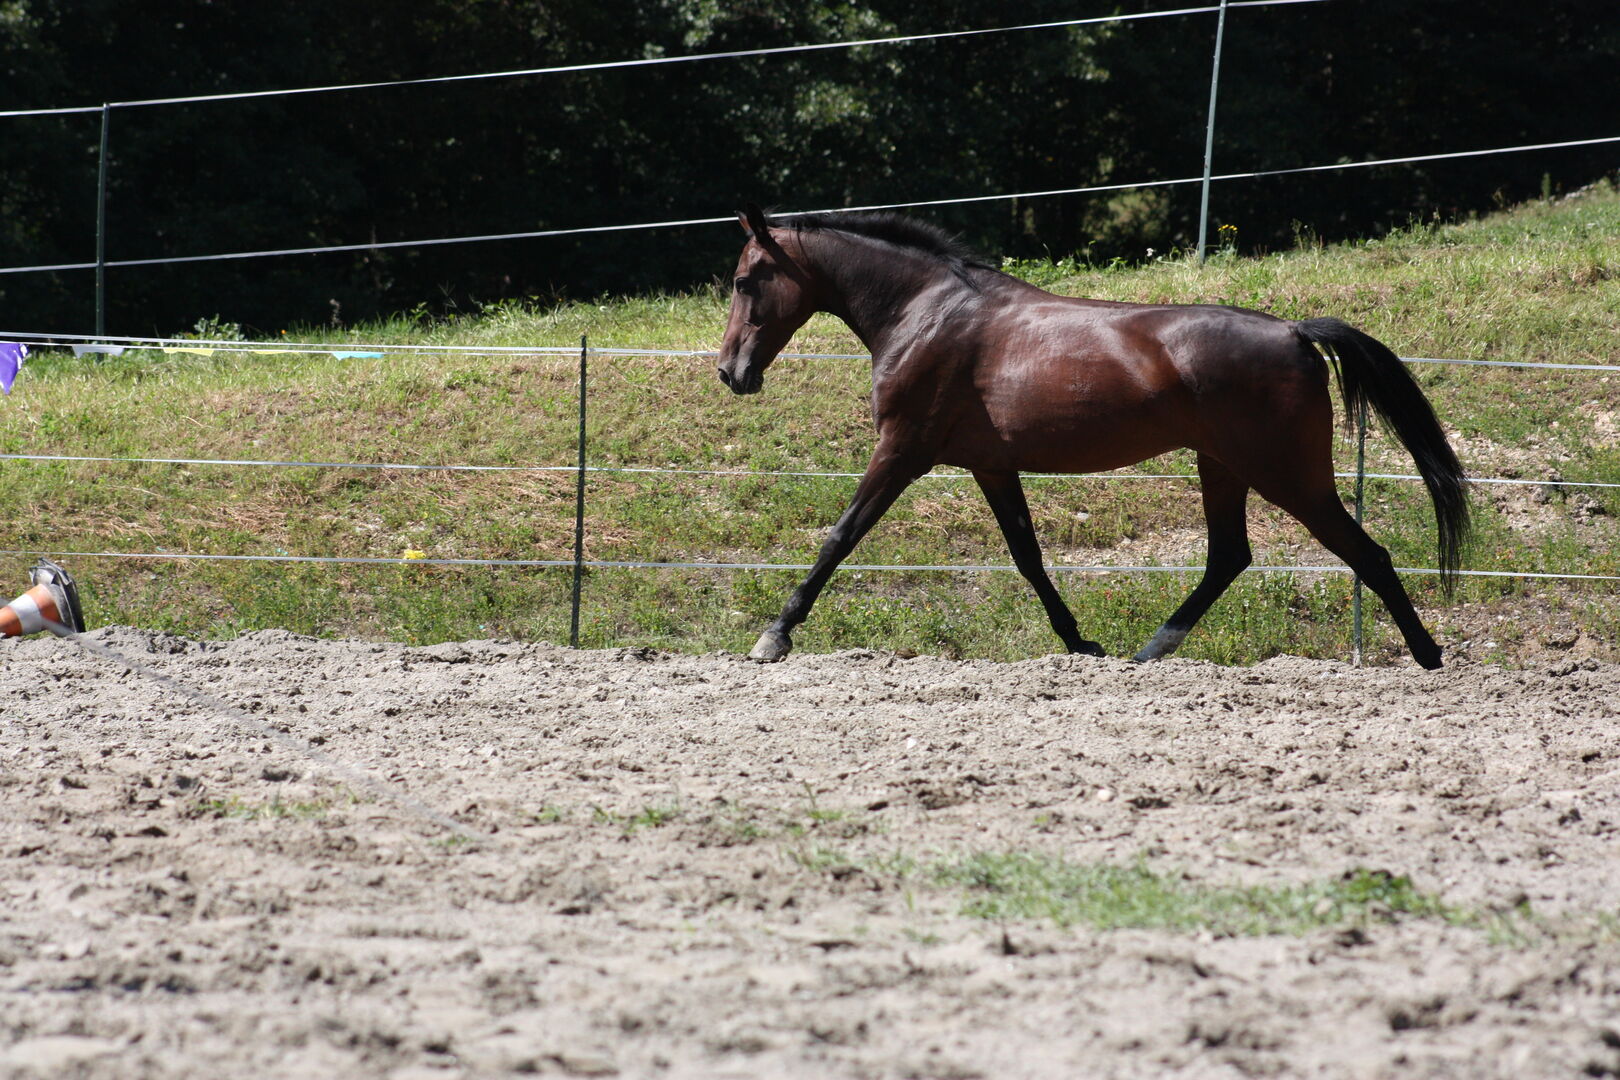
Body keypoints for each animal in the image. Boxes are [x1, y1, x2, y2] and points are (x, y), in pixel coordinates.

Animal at [715, 203, 1470, 668]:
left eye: (748, 279)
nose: (731, 373)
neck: (927, 313)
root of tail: (1295, 332)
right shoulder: (992, 467)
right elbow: (1028, 559)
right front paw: (1081, 645)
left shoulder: (903, 451)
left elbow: (839, 537)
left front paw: (773, 637)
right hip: (1222, 466)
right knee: (1230, 556)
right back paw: (1148, 653)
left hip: (1287, 475)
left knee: (1366, 553)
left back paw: (1429, 657)